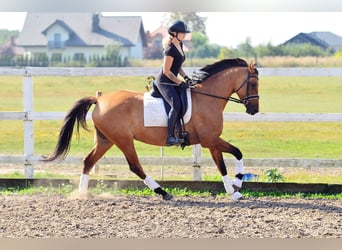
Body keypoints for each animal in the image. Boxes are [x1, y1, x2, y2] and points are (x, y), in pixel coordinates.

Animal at [42, 57, 258, 200]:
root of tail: (100, 100)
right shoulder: (210, 140)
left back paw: (82, 194)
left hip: (106, 140)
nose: (254, 110)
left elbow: (223, 163)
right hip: (123, 140)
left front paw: (233, 189)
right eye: (254, 83)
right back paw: (163, 192)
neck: (208, 97)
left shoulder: (211, 141)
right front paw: (236, 186)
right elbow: (236, 153)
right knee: (135, 166)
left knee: (88, 161)